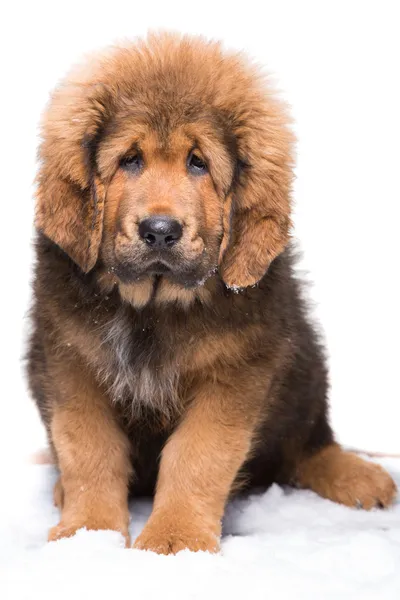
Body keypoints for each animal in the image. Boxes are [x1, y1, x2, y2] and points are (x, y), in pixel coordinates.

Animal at [28, 35, 396, 556]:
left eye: (198, 162)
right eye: (130, 159)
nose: (160, 230)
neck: (154, 306)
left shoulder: (235, 373)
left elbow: (198, 455)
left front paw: (174, 539)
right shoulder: (70, 362)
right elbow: (89, 450)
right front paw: (89, 534)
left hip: (306, 368)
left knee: (307, 445)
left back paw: (359, 476)